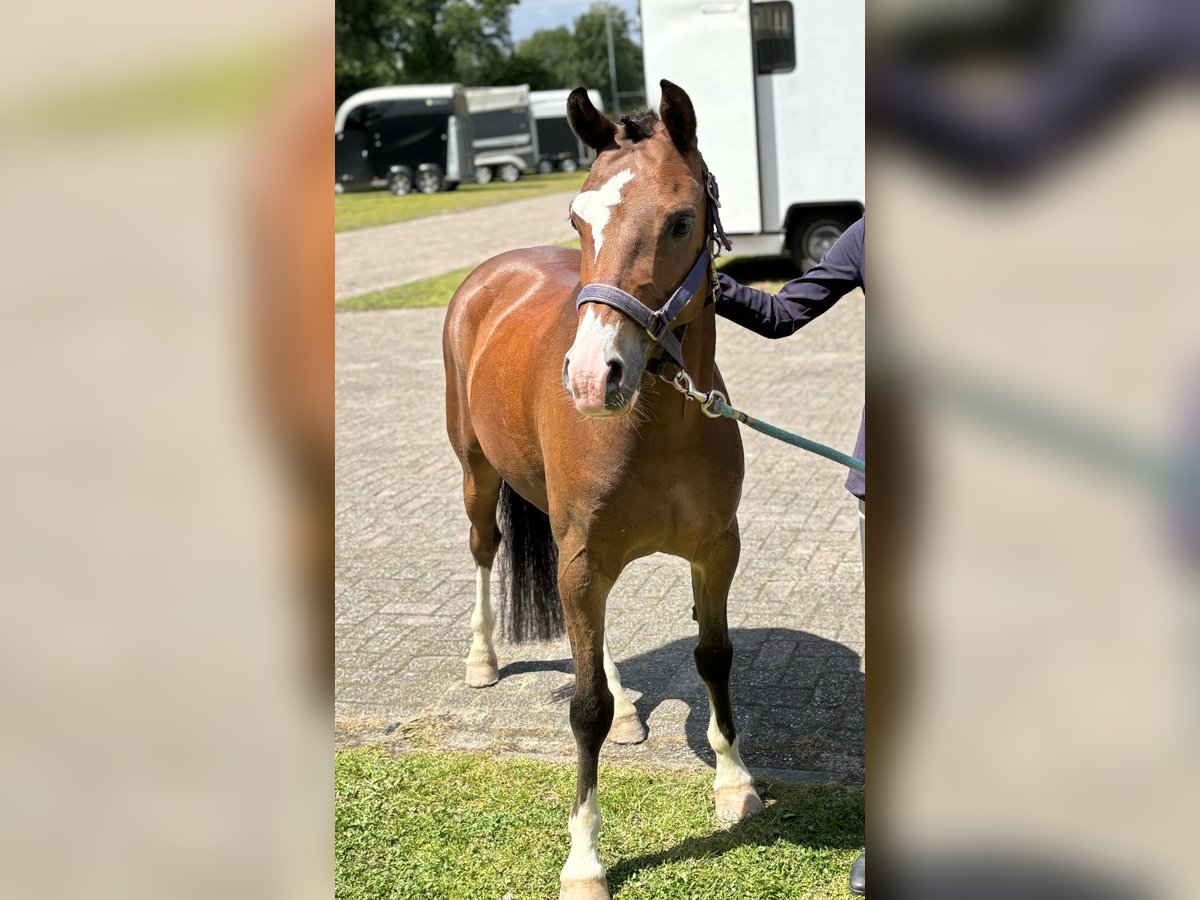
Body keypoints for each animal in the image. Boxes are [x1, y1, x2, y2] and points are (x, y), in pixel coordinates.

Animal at [446, 79, 763, 900]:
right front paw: (584, 860)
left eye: (681, 220)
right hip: (478, 475)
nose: (592, 376)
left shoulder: (715, 550)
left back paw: (627, 709)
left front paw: (733, 781)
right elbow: (581, 707)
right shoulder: (582, 556)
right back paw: (482, 660)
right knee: (484, 550)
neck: (664, 424)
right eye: (578, 219)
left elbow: (715, 658)